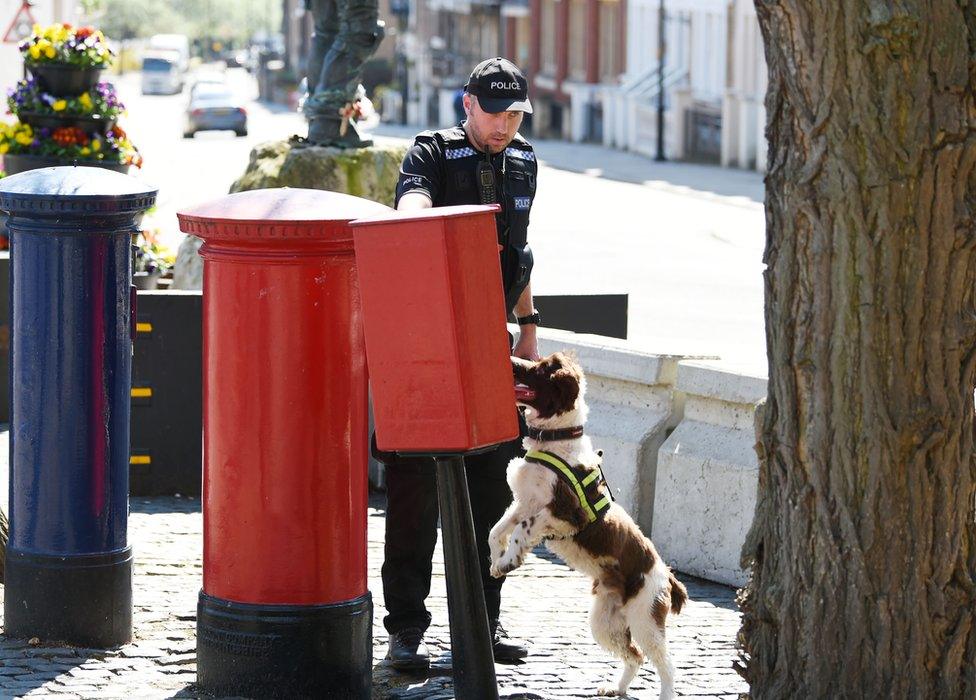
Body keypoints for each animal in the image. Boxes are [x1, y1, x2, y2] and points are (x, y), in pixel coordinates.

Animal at [488, 356, 688, 700]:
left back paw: (663, 693)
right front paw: (495, 558)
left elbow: (520, 531)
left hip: (645, 619)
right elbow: (497, 530)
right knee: (634, 655)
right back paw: (616, 688)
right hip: (605, 621)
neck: (556, 440)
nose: (512, 360)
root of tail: (667, 576)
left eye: (541, 368)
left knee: (666, 664)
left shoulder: (565, 514)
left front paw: (508, 561)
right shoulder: (524, 502)